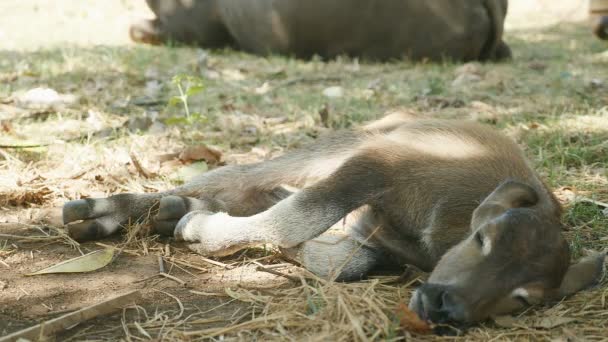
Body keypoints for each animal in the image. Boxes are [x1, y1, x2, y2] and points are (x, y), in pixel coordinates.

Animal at [64, 111, 604, 326]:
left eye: (524, 298)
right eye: (483, 239)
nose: (444, 305)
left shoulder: (374, 233)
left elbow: (343, 260)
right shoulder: (373, 166)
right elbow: (298, 216)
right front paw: (203, 231)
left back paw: (173, 213)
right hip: (337, 145)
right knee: (234, 177)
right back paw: (105, 212)